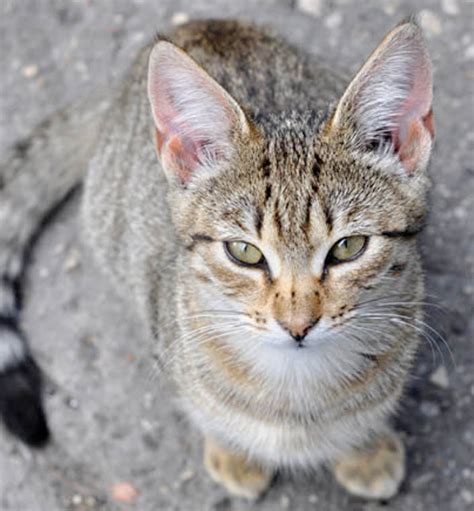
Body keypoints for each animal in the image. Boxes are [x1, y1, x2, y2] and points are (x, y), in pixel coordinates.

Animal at [0, 18, 436, 502]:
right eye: (244, 252)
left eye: (348, 247)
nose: (298, 325)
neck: (296, 386)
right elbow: (206, 411)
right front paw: (233, 453)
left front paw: (364, 449)